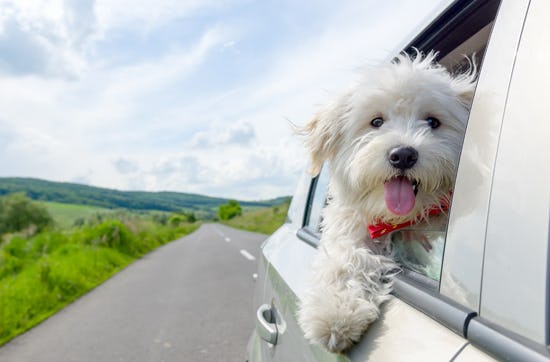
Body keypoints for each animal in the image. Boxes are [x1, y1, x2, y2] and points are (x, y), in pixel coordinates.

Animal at [300, 52, 476, 352]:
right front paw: (334, 313)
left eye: (432, 122)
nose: (403, 155)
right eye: (376, 122)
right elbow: (345, 258)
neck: (402, 219)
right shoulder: (351, 227)